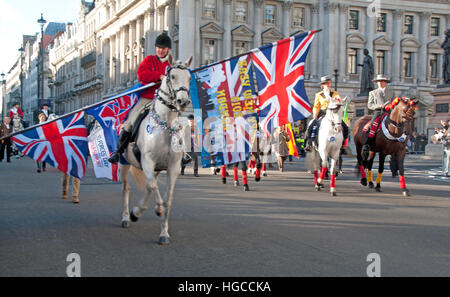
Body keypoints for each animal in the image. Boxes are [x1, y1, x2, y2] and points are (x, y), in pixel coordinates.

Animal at [119, 55, 192, 243]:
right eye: (172, 76)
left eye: (189, 77)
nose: (183, 102)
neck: (166, 125)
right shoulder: (147, 160)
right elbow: (152, 187)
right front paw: (152, 210)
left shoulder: (173, 167)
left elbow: (167, 199)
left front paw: (164, 233)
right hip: (124, 164)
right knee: (127, 188)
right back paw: (126, 217)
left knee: (149, 185)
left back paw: (140, 212)